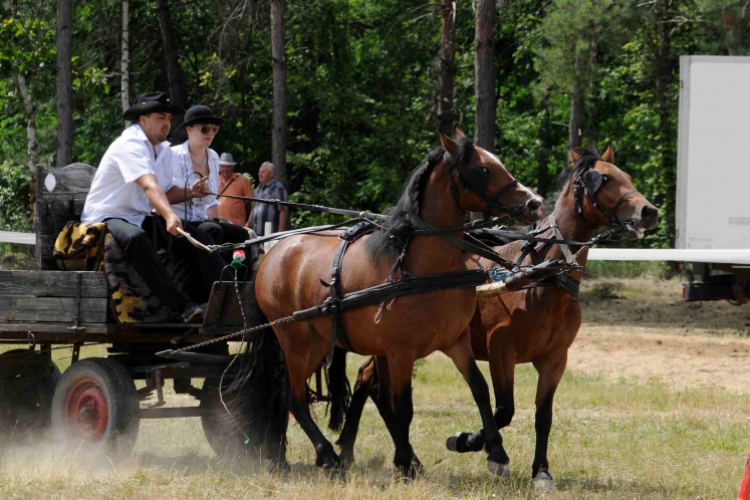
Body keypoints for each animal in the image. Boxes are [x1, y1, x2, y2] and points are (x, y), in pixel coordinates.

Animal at [232, 129, 544, 476]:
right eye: (483, 169)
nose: (533, 203)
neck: (423, 266)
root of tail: (273, 254)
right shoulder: (400, 351)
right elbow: (403, 406)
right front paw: (405, 462)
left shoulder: (455, 341)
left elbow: (479, 389)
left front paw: (495, 452)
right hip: (295, 342)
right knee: (293, 396)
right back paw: (327, 455)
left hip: (316, 343)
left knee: (290, 393)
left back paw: (286, 456)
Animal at [334, 146, 656, 488]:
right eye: (603, 179)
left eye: (626, 176)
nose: (648, 212)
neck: (539, 277)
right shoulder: (502, 350)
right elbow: (504, 410)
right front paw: (468, 441)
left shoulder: (555, 358)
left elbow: (543, 416)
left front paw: (541, 470)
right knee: (375, 385)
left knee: (368, 382)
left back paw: (352, 450)